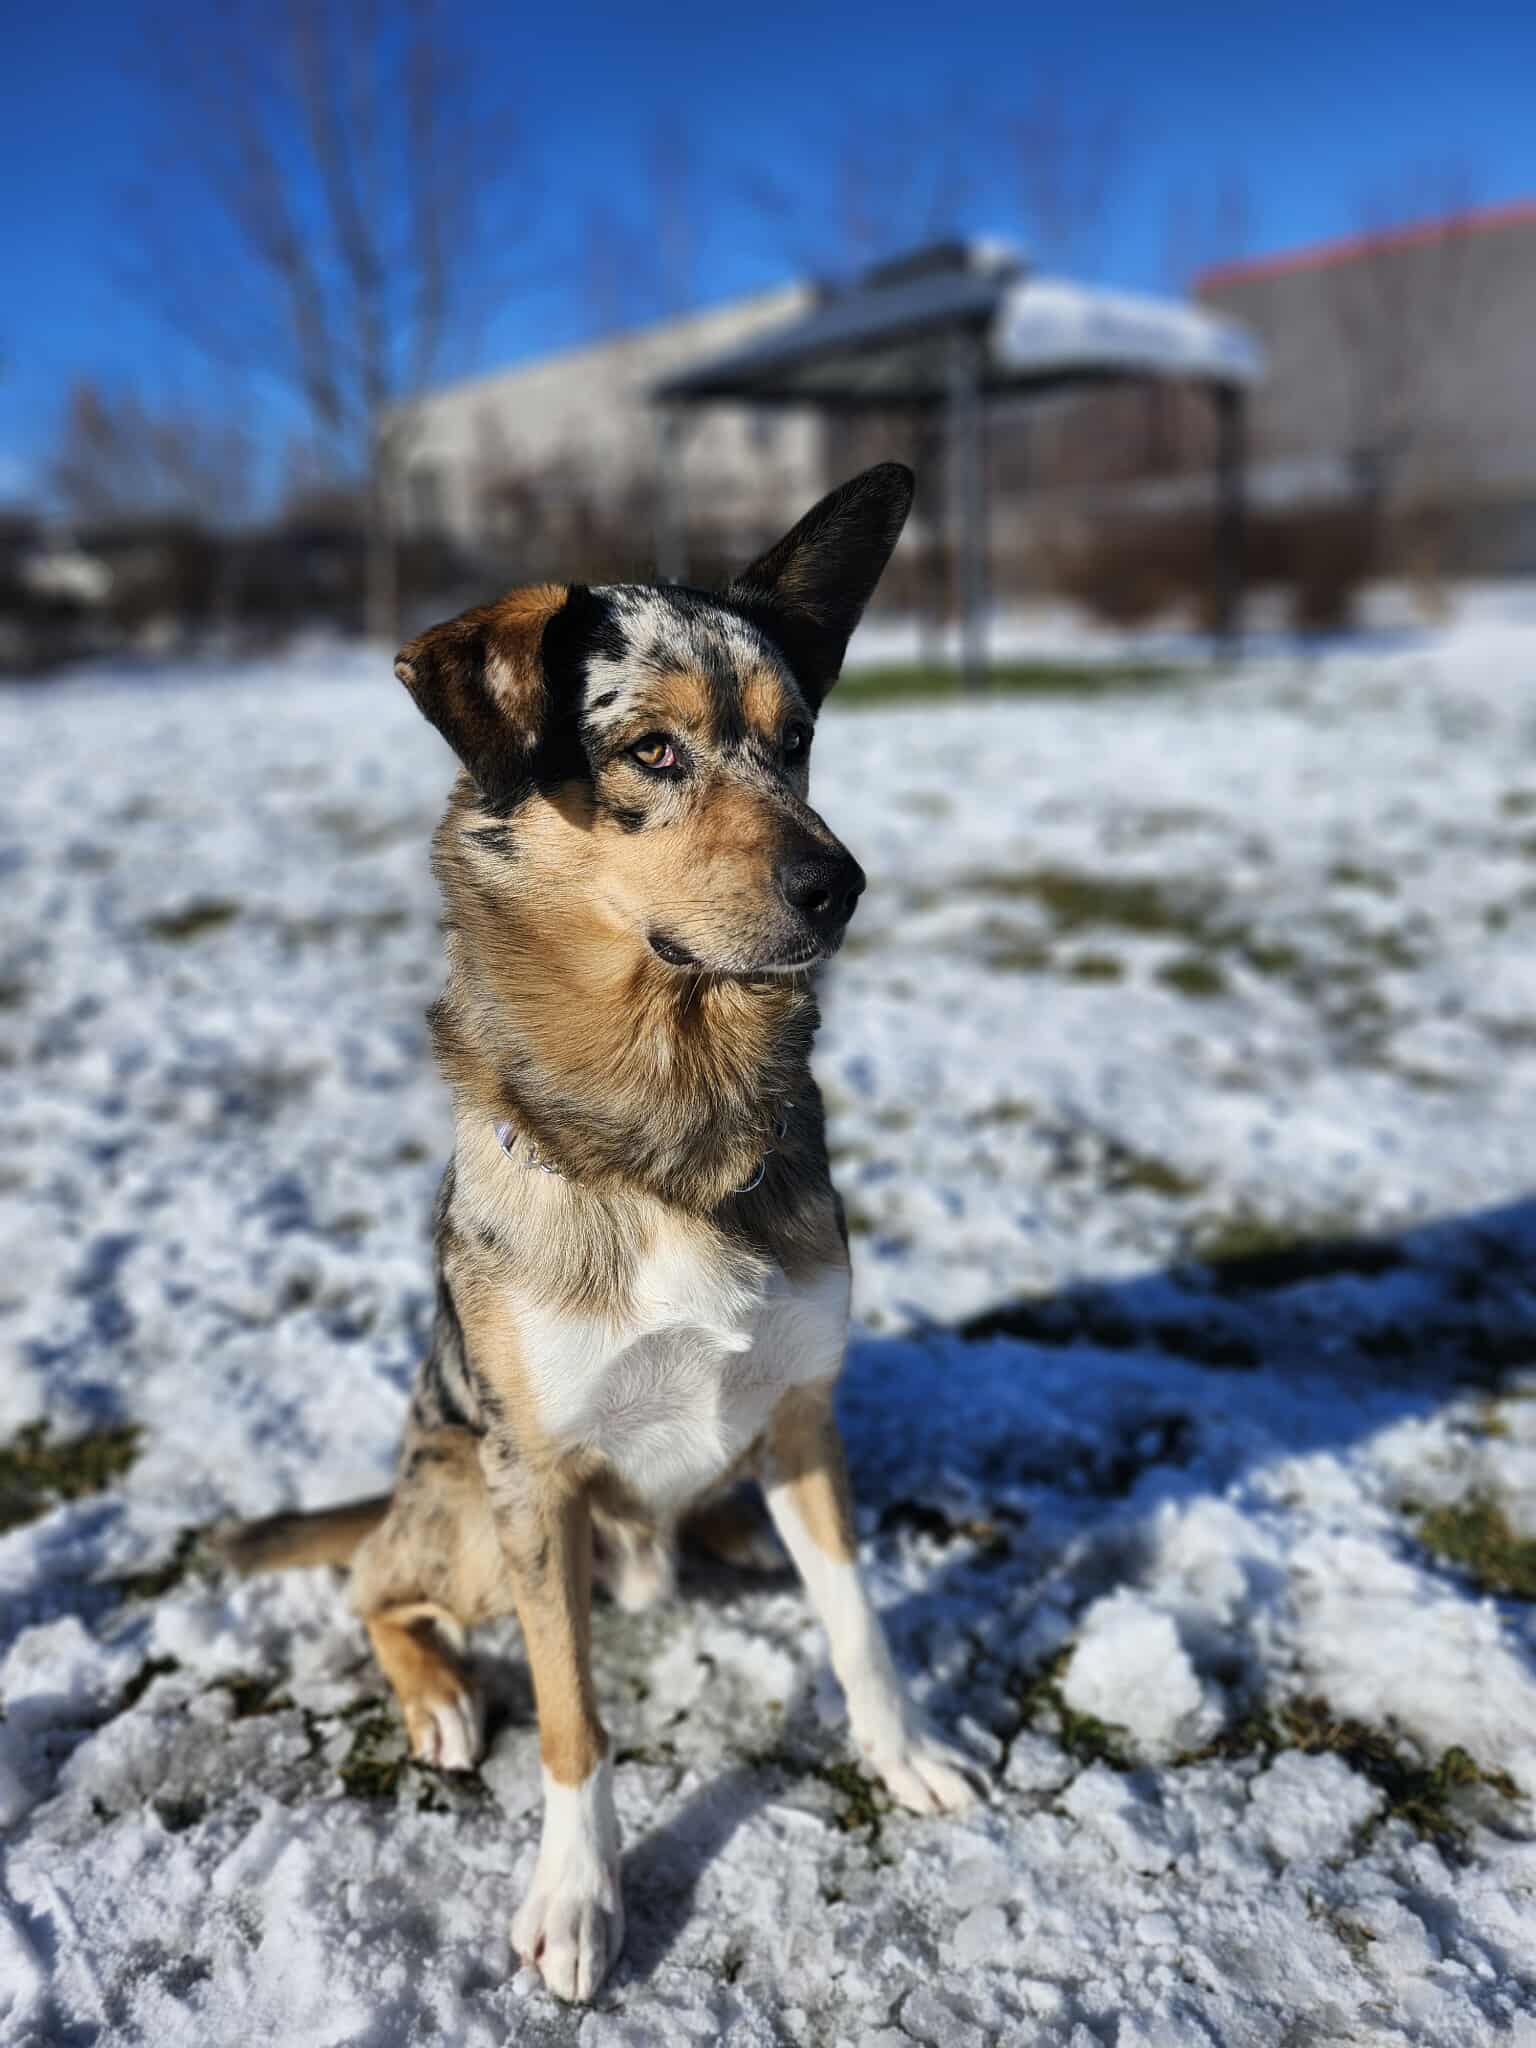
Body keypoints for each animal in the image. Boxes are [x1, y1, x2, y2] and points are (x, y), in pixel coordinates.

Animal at [219, 462, 981, 2002]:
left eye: (799, 740)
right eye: (650, 751)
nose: (841, 887)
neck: (674, 1105)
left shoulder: (804, 1416)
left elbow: (861, 1622)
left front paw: (904, 1748)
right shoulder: (539, 1484)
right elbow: (575, 1715)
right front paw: (577, 1895)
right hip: (460, 1503)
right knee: (377, 1585)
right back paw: (442, 1698)